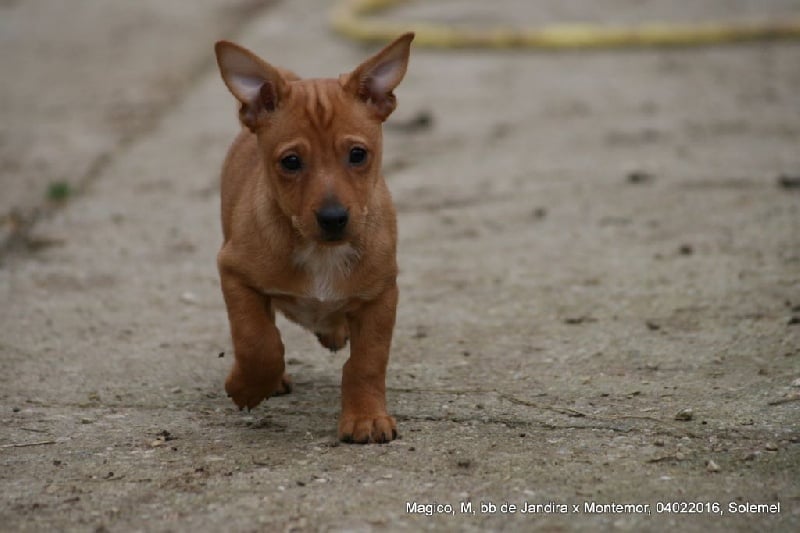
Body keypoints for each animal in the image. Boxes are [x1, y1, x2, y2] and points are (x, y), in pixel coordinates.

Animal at [214, 32, 412, 440]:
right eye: (291, 162)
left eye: (358, 154)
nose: (333, 218)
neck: (322, 252)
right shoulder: (234, 273)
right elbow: (257, 342)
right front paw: (247, 386)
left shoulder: (381, 296)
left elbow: (368, 361)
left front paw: (366, 416)